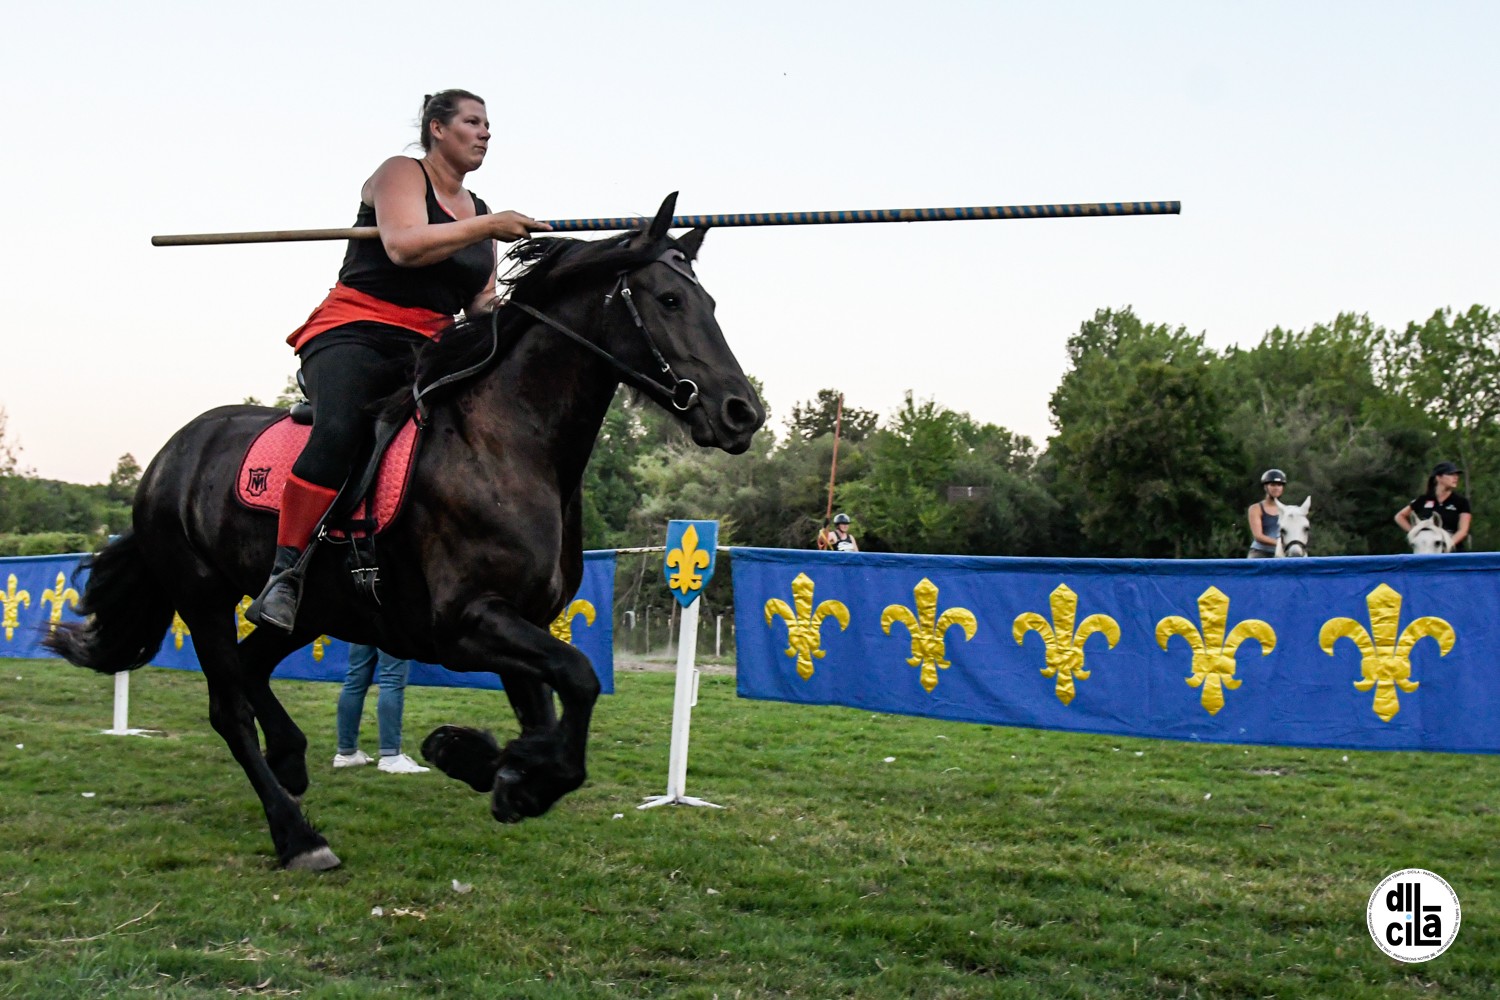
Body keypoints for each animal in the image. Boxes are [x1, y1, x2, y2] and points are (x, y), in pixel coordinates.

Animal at [46, 193, 762, 869]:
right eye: (669, 299)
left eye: (709, 301)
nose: (742, 412)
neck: (509, 443)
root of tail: (169, 455)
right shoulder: (466, 623)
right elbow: (580, 678)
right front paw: (497, 765)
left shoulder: (516, 619)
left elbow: (551, 716)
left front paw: (493, 765)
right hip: (202, 596)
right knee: (230, 707)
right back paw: (298, 835)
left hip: (315, 609)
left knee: (252, 669)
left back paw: (293, 756)